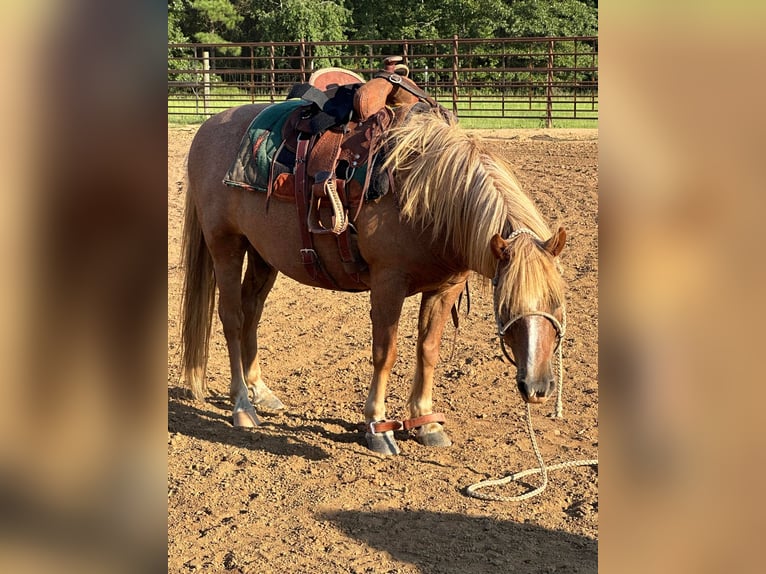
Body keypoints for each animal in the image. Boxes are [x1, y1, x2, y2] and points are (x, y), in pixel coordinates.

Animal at [178, 103, 564, 456]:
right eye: (506, 306)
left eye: (557, 304)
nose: (538, 387)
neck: (425, 197)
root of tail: (207, 128)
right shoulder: (387, 283)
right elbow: (385, 353)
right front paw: (378, 426)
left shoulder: (445, 289)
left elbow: (428, 350)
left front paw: (427, 423)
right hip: (225, 246)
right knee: (232, 319)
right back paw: (243, 406)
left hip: (262, 254)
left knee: (252, 313)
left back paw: (261, 391)